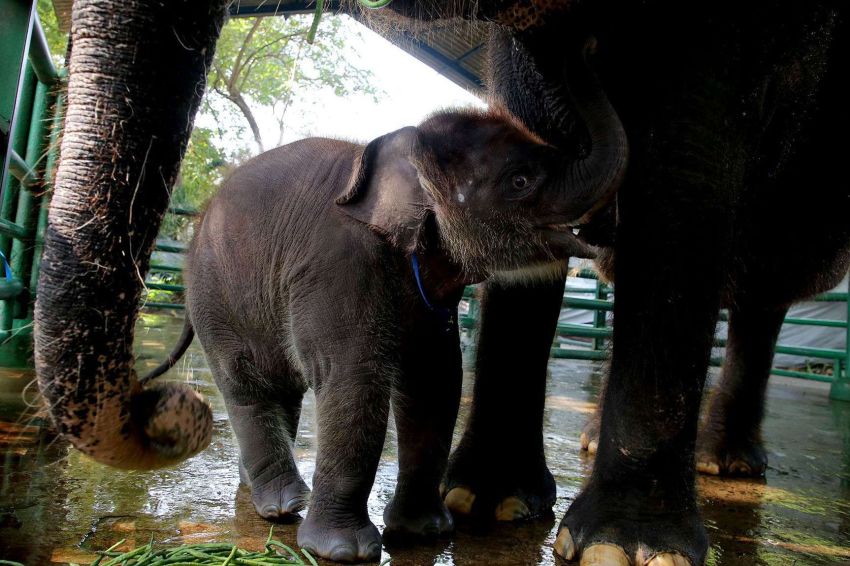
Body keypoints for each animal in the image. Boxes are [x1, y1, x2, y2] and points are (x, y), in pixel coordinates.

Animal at [149, 97, 620, 564]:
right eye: (519, 180)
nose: (598, 233)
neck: (405, 147)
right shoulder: (336, 264)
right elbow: (353, 378)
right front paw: (345, 552)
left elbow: (435, 379)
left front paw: (425, 533)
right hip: (218, 300)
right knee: (246, 383)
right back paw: (282, 505)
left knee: (282, 389)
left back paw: (258, 490)